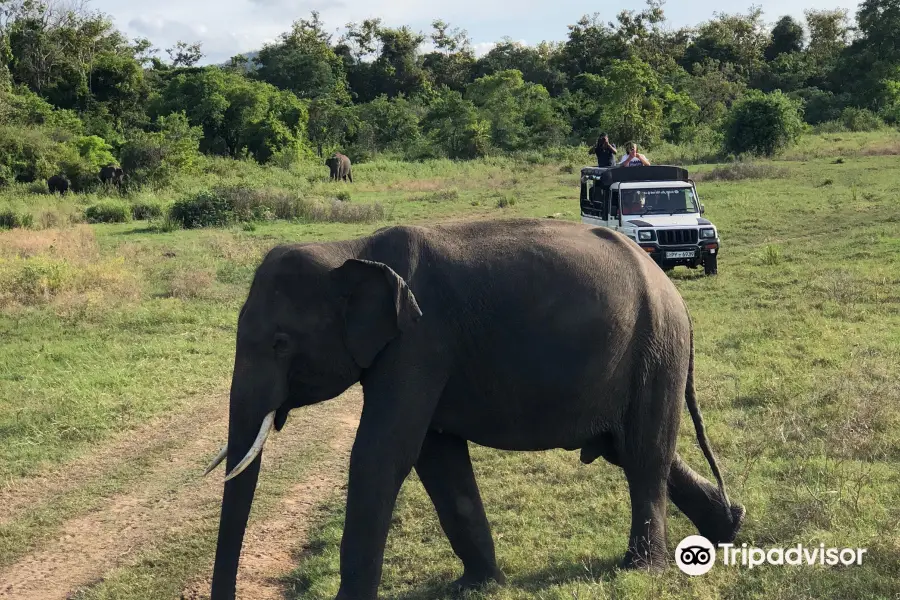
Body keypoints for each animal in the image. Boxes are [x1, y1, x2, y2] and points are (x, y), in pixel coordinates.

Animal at [204, 217, 744, 600]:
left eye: (280, 343)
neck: (349, 250)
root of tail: (671, 288)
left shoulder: (420, 342)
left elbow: (382, 454)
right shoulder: (420, 353)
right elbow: (436, 457)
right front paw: (477, 587)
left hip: (657, 348)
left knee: (645, 453)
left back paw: (643, 568)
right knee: (626, 448)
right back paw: (728, 528)